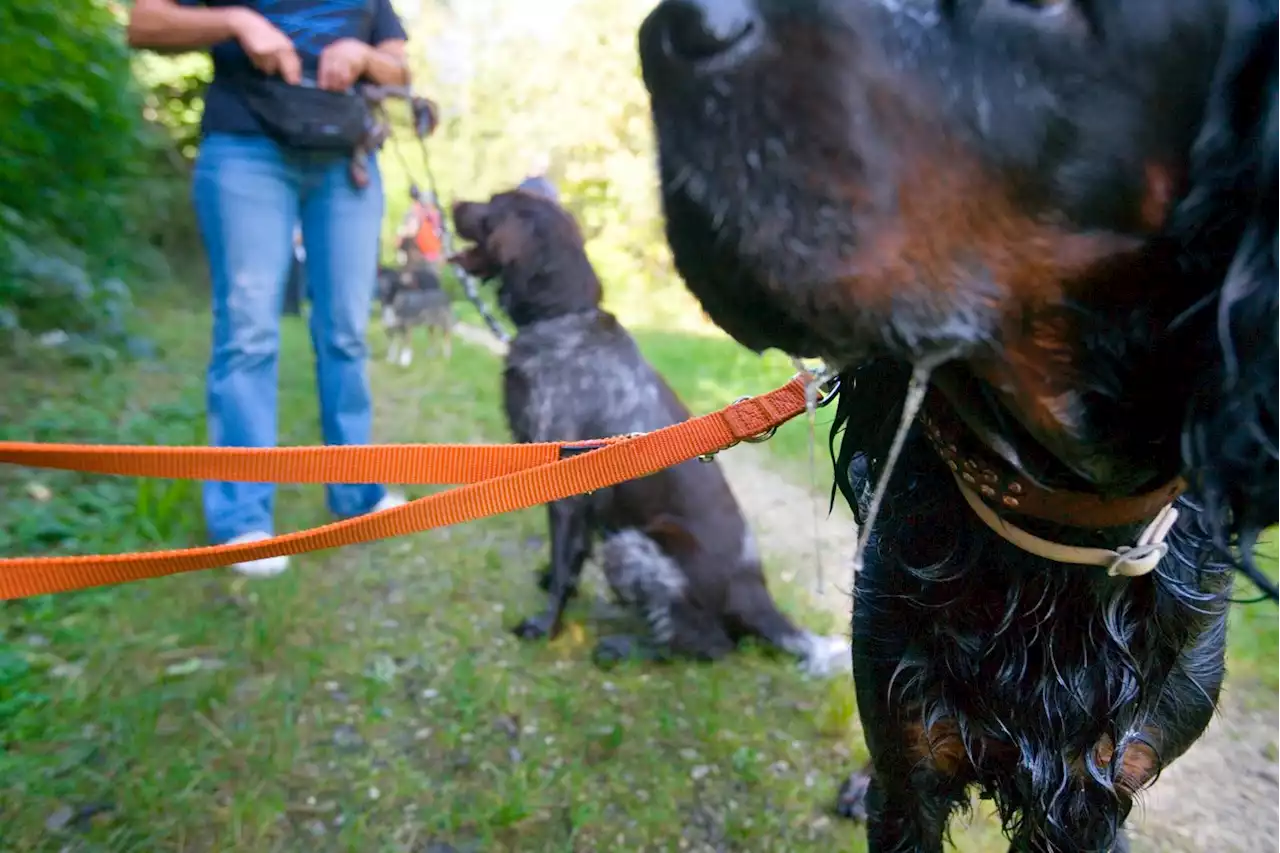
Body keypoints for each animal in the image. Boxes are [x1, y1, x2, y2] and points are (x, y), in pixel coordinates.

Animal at [450, 189, 849, 676]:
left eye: (492, 204)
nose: (451, 202)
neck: (564, 318)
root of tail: (757, 598)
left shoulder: (567, 490)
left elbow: (565, 564)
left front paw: (545, 625)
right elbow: (569, 562)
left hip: (631, 548)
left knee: (709, 644)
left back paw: (624, 647)